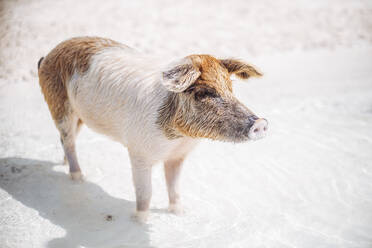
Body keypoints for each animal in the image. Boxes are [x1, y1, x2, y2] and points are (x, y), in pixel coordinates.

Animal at [37, 35, 268, 222]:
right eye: (203, 93)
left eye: (231, 88)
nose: (261, 123)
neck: (177, 139)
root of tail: (47, 56)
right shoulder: (138, 152)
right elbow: (145, 192)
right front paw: (139, 221)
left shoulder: (178, 156)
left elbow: (174, 186)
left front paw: (179, 213)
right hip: (58, 105)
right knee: (67, 139)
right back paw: (79, 178)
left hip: (78, 116)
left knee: (66, 140)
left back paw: (65, 165)